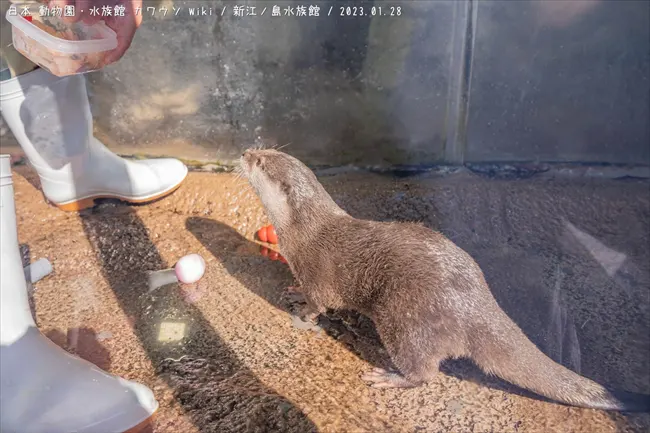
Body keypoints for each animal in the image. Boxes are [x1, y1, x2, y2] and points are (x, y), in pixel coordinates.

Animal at [238, 147, 648, 410]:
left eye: (260, 161)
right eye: (265, 149)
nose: (244, 151)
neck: (303, 230)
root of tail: (477, 306)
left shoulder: (317, 271)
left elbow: (318, 304)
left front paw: (300, 306)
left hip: (406, 319)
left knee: (424, 369)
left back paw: (390, 377)